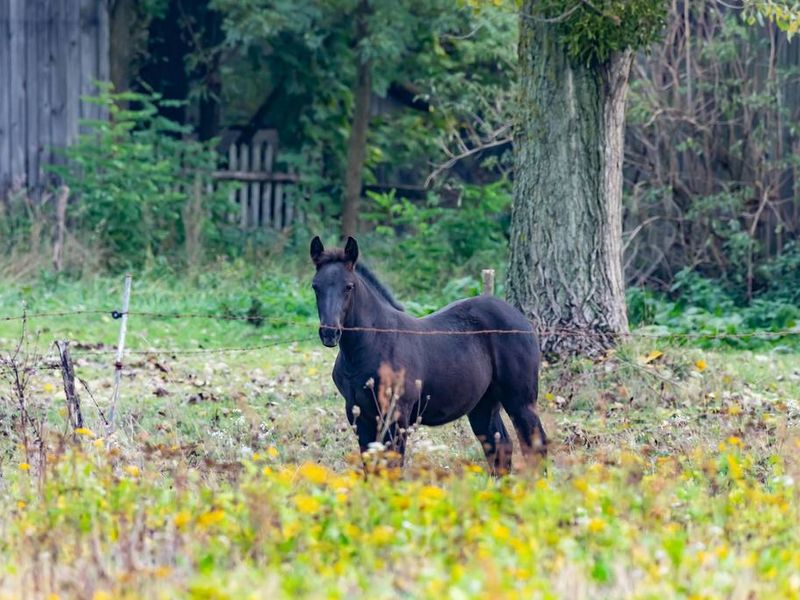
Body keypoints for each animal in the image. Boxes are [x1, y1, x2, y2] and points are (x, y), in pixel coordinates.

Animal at [310, 236, 548, 474]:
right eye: (315, 287)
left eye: (349, 287)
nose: (329, 333)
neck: (370, 345)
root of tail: (522, 319)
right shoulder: (358, 414)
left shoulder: (397, 415)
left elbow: (394, 466)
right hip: (484, 403)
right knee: (500, 446)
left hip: (520, 399)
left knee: (535, 444)